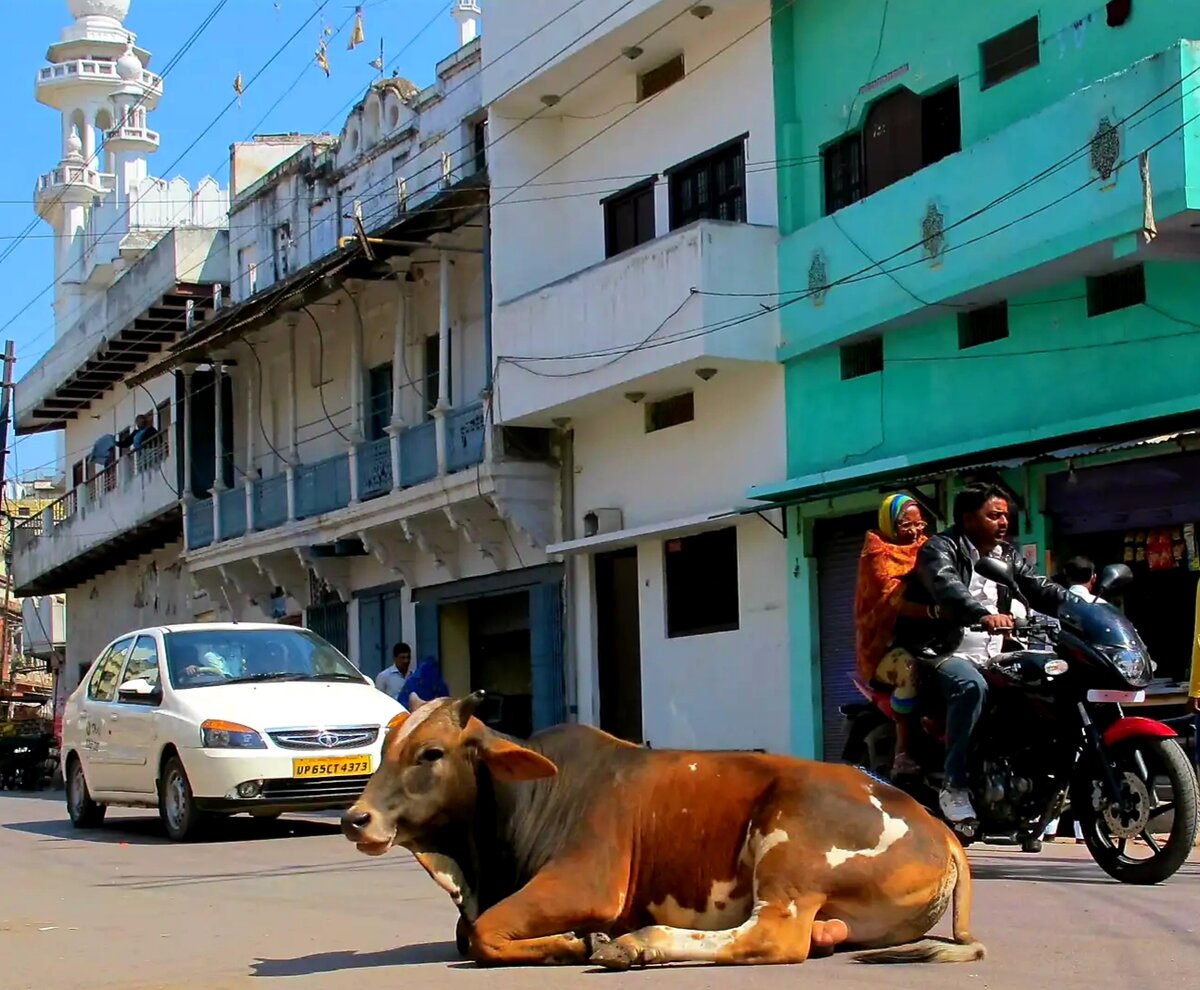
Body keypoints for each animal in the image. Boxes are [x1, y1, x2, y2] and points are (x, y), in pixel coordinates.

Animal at [338, 691, 984, 969]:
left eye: (430, 753)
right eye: (385, 748)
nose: (353, 819)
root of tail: (939, 826)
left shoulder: (588, 883)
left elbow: (481, 935)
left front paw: (576, 943)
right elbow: (466, 932)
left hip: (789, 849)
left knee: (773, 938)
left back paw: (637, 943)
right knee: (814, 934)